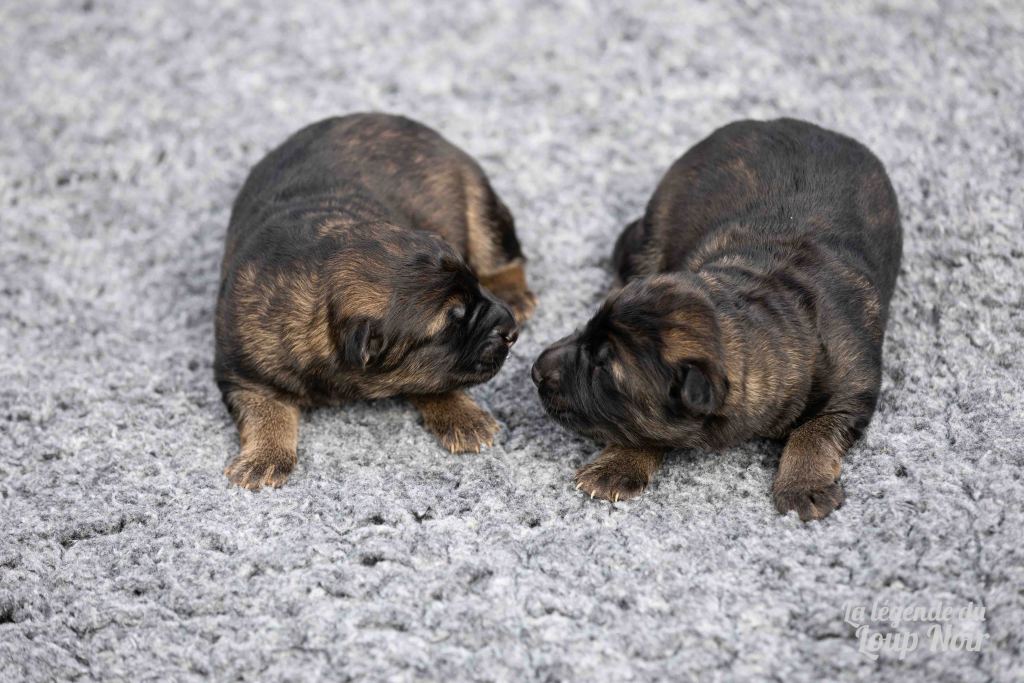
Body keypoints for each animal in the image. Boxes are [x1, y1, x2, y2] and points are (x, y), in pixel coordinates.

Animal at [215, 113, 536, 490]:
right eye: (453, 320)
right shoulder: (241, 371)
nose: (510, 330)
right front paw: (264, 459)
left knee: (501, 252)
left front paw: (463, 417)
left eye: (474, 289)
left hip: (478, 204)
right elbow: (266, 409)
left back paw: (513, 292)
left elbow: (434, 379)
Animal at [532, 118, 901, 521]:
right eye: (586, 329)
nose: (536, 369)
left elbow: (814, 432)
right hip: (654, 234)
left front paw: (804, 486)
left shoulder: (854, 392)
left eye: (602, 367)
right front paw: (617, 467)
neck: (766, 309)